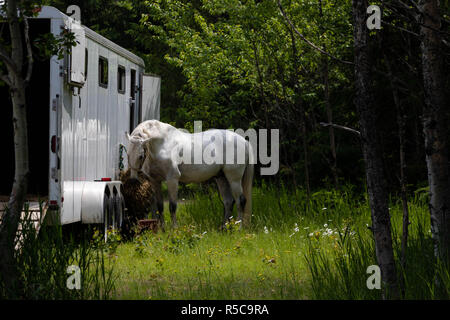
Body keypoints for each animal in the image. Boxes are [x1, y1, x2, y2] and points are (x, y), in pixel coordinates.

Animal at [125, 120, 253, 230]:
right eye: (128, 154)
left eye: (140, 156)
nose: (133, 180)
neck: (163, 144)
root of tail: (244, 141)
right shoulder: (155, 181)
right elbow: (160, 207)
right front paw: (163, 230)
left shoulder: (172, 180)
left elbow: (172, 206)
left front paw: (174, 229)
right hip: (222, 179)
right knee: (228, 202)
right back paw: (224, 228)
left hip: (234, 179)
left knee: (240, 201)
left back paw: (238, 228)